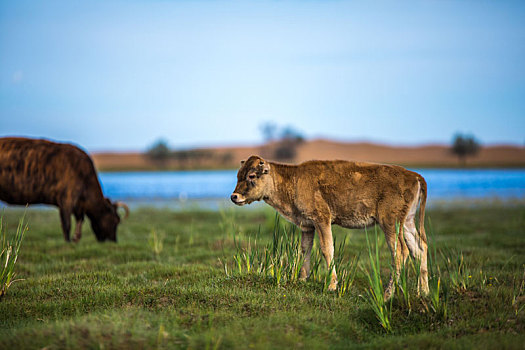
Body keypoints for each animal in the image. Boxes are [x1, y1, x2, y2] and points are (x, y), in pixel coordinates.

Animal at [0, 137, 129, 241]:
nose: (114, 240)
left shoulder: (77, 205)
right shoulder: (66, 200)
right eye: (116, 220)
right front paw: (69, 241)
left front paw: (76, 238)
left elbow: (80, 219)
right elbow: (67, 224)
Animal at [231, 154, 428, 300]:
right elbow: (305, 249)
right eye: (238, 175)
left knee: (400, 252)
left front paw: (331, 286)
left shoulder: (322, 220)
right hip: (407, 223)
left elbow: (327, 249)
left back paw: (388, 295)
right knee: (419, 249)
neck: (292, 180)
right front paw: (302, 279)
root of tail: (414, 175)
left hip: (390, 223)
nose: (234, 196)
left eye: (251, 176)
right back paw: (423, 292)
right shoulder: (307, 226)